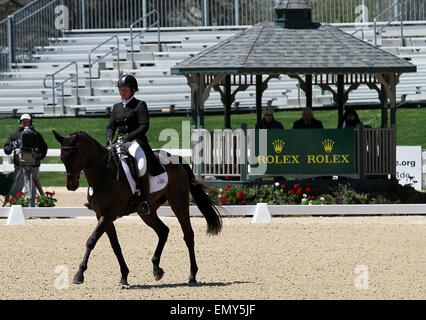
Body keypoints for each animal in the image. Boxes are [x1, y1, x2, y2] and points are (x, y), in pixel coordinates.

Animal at [52, 130, 223, 284]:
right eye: (61, 158)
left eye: (74, 156)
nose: (71, 186)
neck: (103, 175)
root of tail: (176, 158)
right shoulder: (102, 216)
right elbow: (115, 245)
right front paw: (124, 276)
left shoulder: (107, 215)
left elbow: (91, 241)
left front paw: (79, 275)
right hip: (147, 212)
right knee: (163, 231)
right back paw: (157, 270)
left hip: (178, 203)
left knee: (188, 235)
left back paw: (192, 275)